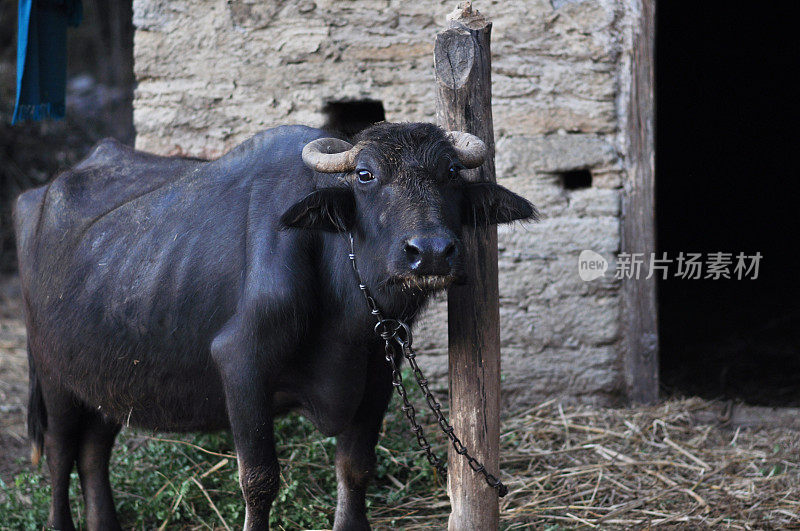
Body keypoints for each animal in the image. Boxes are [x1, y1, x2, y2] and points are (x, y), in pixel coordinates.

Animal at [12, 122, 536, 528]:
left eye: (450, 174)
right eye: (365, 175)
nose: (430, 252)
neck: (346, 303)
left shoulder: (378, 374)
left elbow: (355, 467)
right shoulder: (241, 365)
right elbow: (259, 479)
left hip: (104, 380)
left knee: (93, 453)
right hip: (53, 376)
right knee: (59, 455)